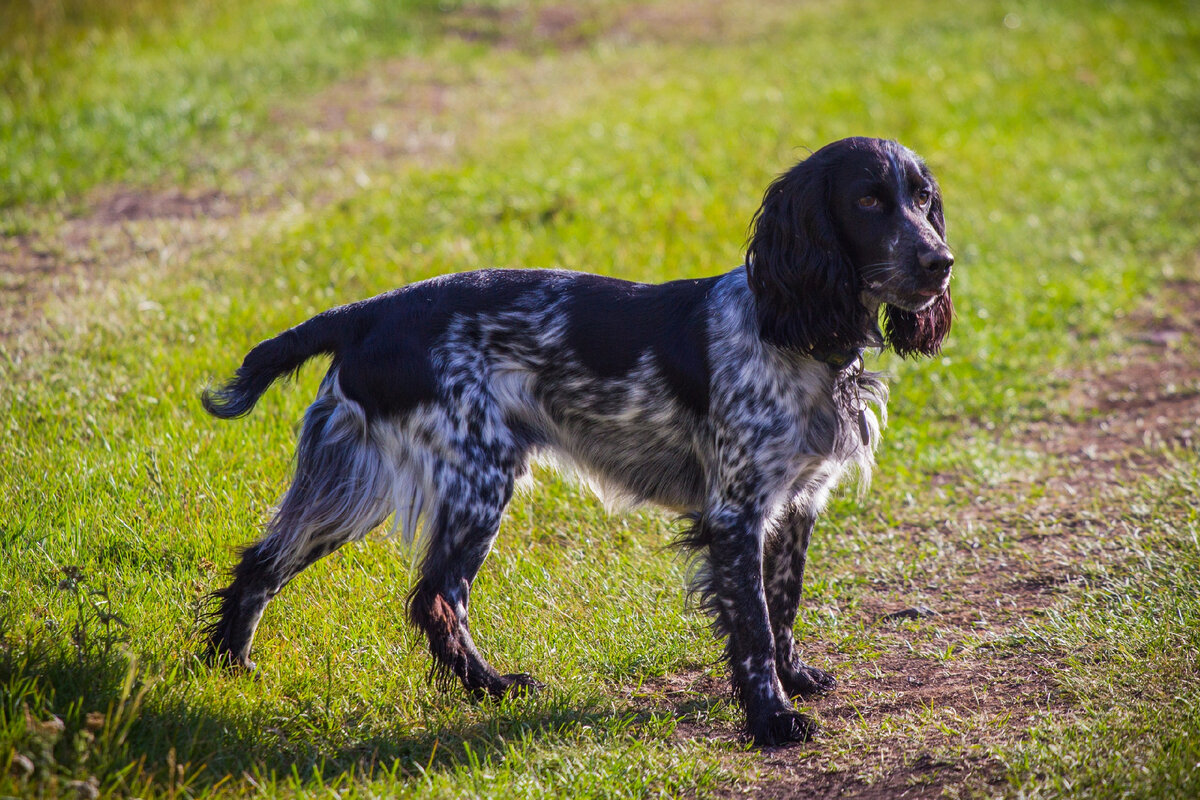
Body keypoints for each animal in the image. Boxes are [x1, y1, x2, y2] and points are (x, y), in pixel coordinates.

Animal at [204, 136, 955, 743]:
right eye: (867, 200)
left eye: (923, 199)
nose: (940, 261)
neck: (797, 331)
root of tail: (367, 312)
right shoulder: (735, 513)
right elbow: (754, 627)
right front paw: (772, 718)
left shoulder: (795, 503)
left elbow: (785, 601)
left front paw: (796, 681)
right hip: (474, 479)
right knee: (436, 597)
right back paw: (491, 686)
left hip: (350, 481)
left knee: (262, 564)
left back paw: (225, 669)